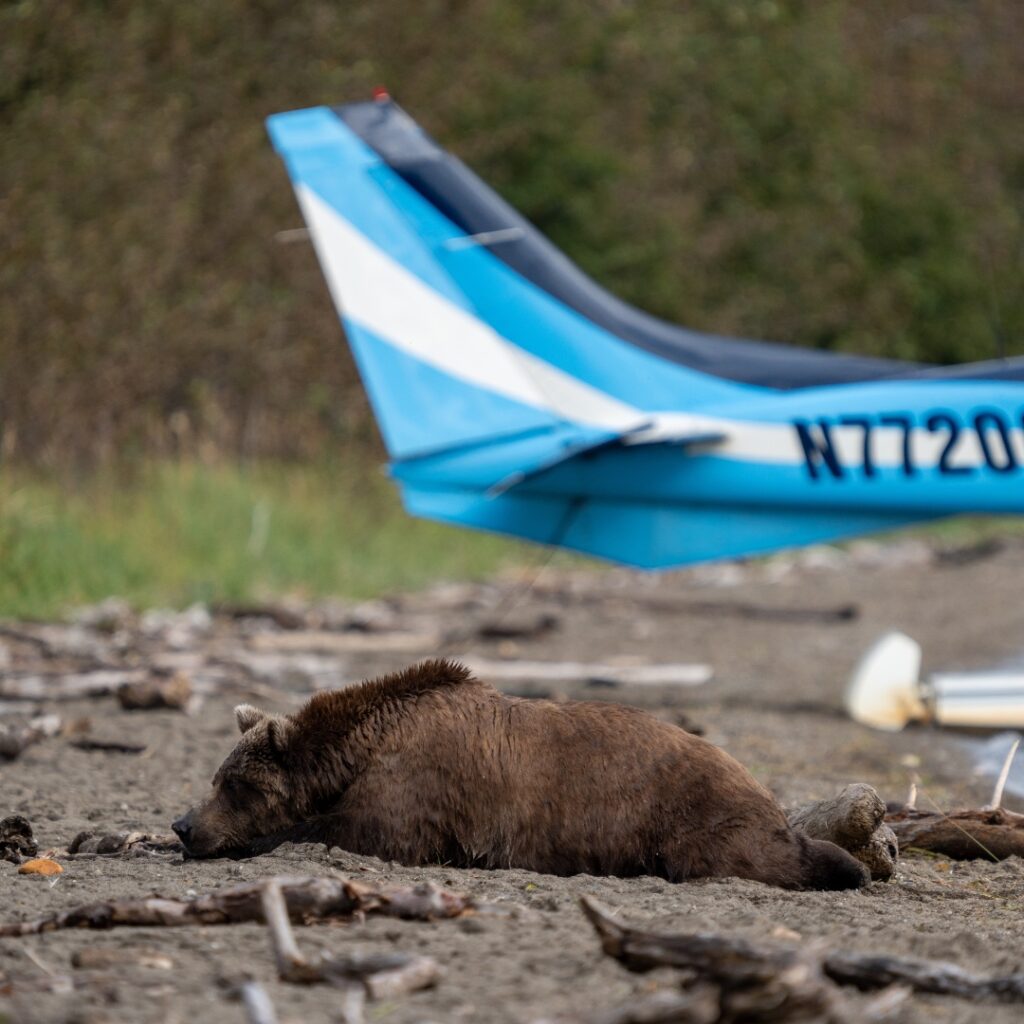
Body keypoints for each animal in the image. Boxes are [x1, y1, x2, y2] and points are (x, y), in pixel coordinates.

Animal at [172, 659, 868, 890]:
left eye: (233, 784)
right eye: (216, 777)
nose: (184, 824)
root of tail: (760, 784)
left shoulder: (417, 789)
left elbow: (354, 832)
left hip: (693, 813)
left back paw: (846, 864)